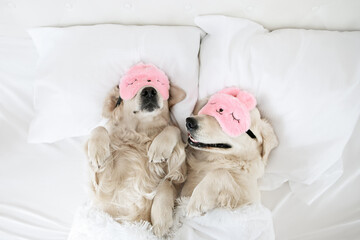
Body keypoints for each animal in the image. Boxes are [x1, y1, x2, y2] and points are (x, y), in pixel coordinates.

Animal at [84, 63, 186, 236]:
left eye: (158, 82)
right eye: (132, 83)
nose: (149, 91)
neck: (140, 130)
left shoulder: (178, 175)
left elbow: (174, 129)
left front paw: (161, 219)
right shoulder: (104, 180)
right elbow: (100, 128)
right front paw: (98, 151)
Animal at [180, 86, 278, 218]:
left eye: (234, 120)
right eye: (211, 106)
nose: (190, 122)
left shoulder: (250, 200)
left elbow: (220, 172)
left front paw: (199, 199)